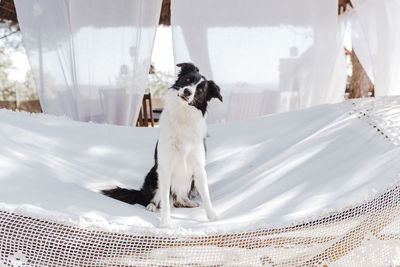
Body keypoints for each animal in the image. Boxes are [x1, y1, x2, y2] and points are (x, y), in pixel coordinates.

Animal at [102, 62, 222, 228]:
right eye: (187, 80)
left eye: (200, 90)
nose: (187, 91)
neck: (183, 115)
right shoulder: (164, 167)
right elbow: (165, 201)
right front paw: (165, 222)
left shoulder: (198, 168)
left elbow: (206, 195)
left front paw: (212, 216)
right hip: (152, 174)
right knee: (156, 198)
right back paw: (151, 206)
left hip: (190, 182)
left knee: (178, 199)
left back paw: (188, 202)